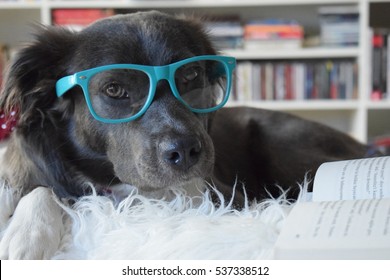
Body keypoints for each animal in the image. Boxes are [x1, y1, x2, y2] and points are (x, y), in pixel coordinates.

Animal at [0, 11, 368, 260]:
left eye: (190, 75)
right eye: (114, 89)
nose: (187, 152)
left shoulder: (221, 194)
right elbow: (43, 189)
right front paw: (27, 235)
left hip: (284, 150)